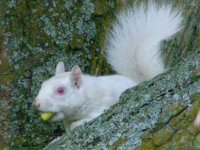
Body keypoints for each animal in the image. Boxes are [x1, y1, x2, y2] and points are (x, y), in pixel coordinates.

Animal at [32, 3, 183, 130]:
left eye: (60, 90)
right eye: (42, 84)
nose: (36, 104)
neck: (87, 93)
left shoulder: (103, 106)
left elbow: (90, 118)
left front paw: (77, 124)